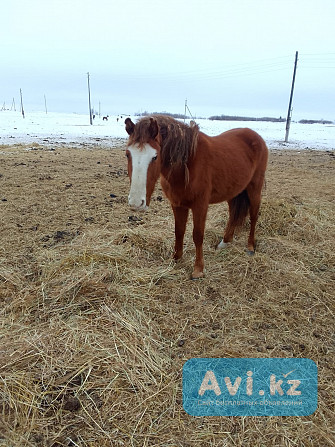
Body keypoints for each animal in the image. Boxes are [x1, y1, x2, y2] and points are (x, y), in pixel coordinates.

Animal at [124, 114, 270, 278]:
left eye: (155, 157)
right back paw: (225, 242)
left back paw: (250, 247)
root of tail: (256, 137)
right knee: (233, 214)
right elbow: (179, 231)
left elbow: (198, 235)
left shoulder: (200, 206)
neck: (186, 164)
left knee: (254, 216)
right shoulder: (177, 204)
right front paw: (176, 258)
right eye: (127, 154)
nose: (136, 203)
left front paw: (198, 269)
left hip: (254, 189)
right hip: (234, 191)